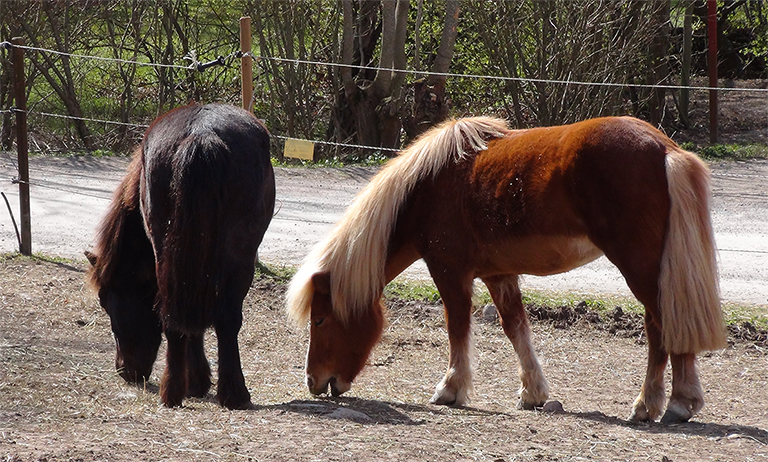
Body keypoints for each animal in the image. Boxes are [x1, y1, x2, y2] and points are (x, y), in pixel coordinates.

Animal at [87, 104, 276, 408]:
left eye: (105, 300)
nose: (124, 370)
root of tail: (200, 136)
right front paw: (198, 380)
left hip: (169, 253)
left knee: (175, 317)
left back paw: (175, 390)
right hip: (237, 257)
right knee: (225, 320)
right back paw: (230, 392)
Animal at [288, 115, 728, 422]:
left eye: (321, 320)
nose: (314, 382)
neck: (426, 188)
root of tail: (665, 148)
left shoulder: (450, 273)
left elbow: (458, 327)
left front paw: (451, 389)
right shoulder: (497, 274)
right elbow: (516, 328)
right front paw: (533, 392)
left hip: (640, 268)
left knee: (661, 327)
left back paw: (666, 404)